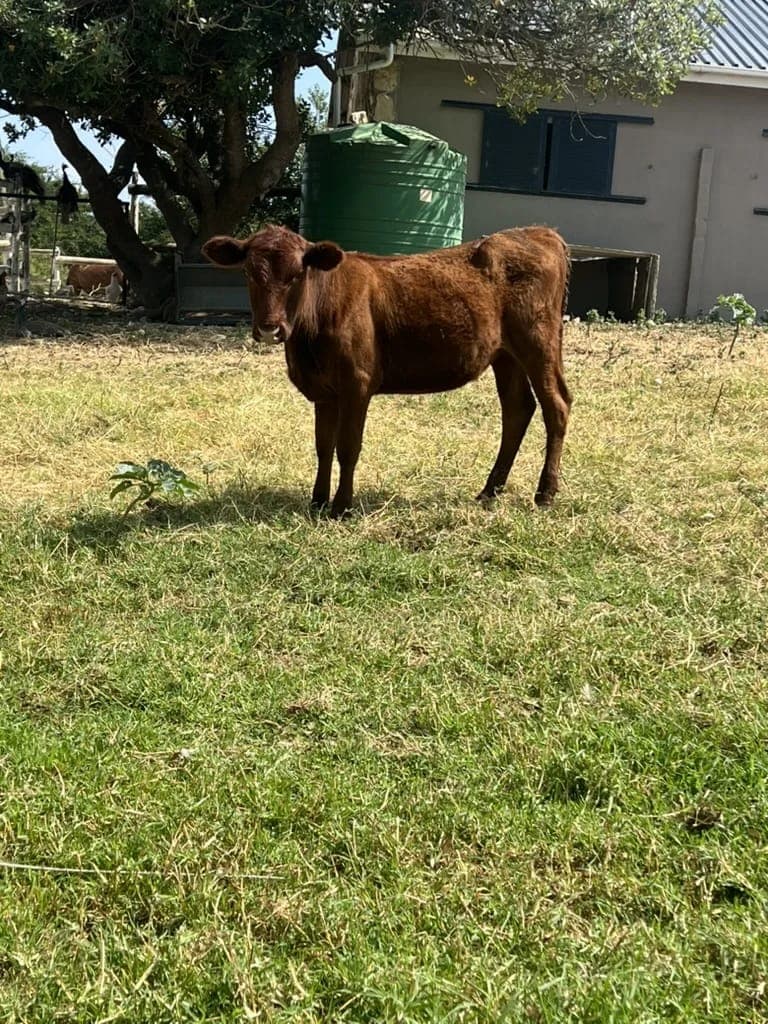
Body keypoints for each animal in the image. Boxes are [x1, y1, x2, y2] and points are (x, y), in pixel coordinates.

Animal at [203, 225, 572, 518]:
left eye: (297, 274)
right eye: (249, 273)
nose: (270, 328)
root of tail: (538, 232)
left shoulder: (357, 383)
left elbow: (347, 447)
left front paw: (342, 507)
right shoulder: (324, 391)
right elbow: (323, 446)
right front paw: (318, 502)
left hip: (538, 341)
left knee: (556, 405)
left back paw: (545, 493)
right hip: (505, 354)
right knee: (517, 409)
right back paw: (489, 491)